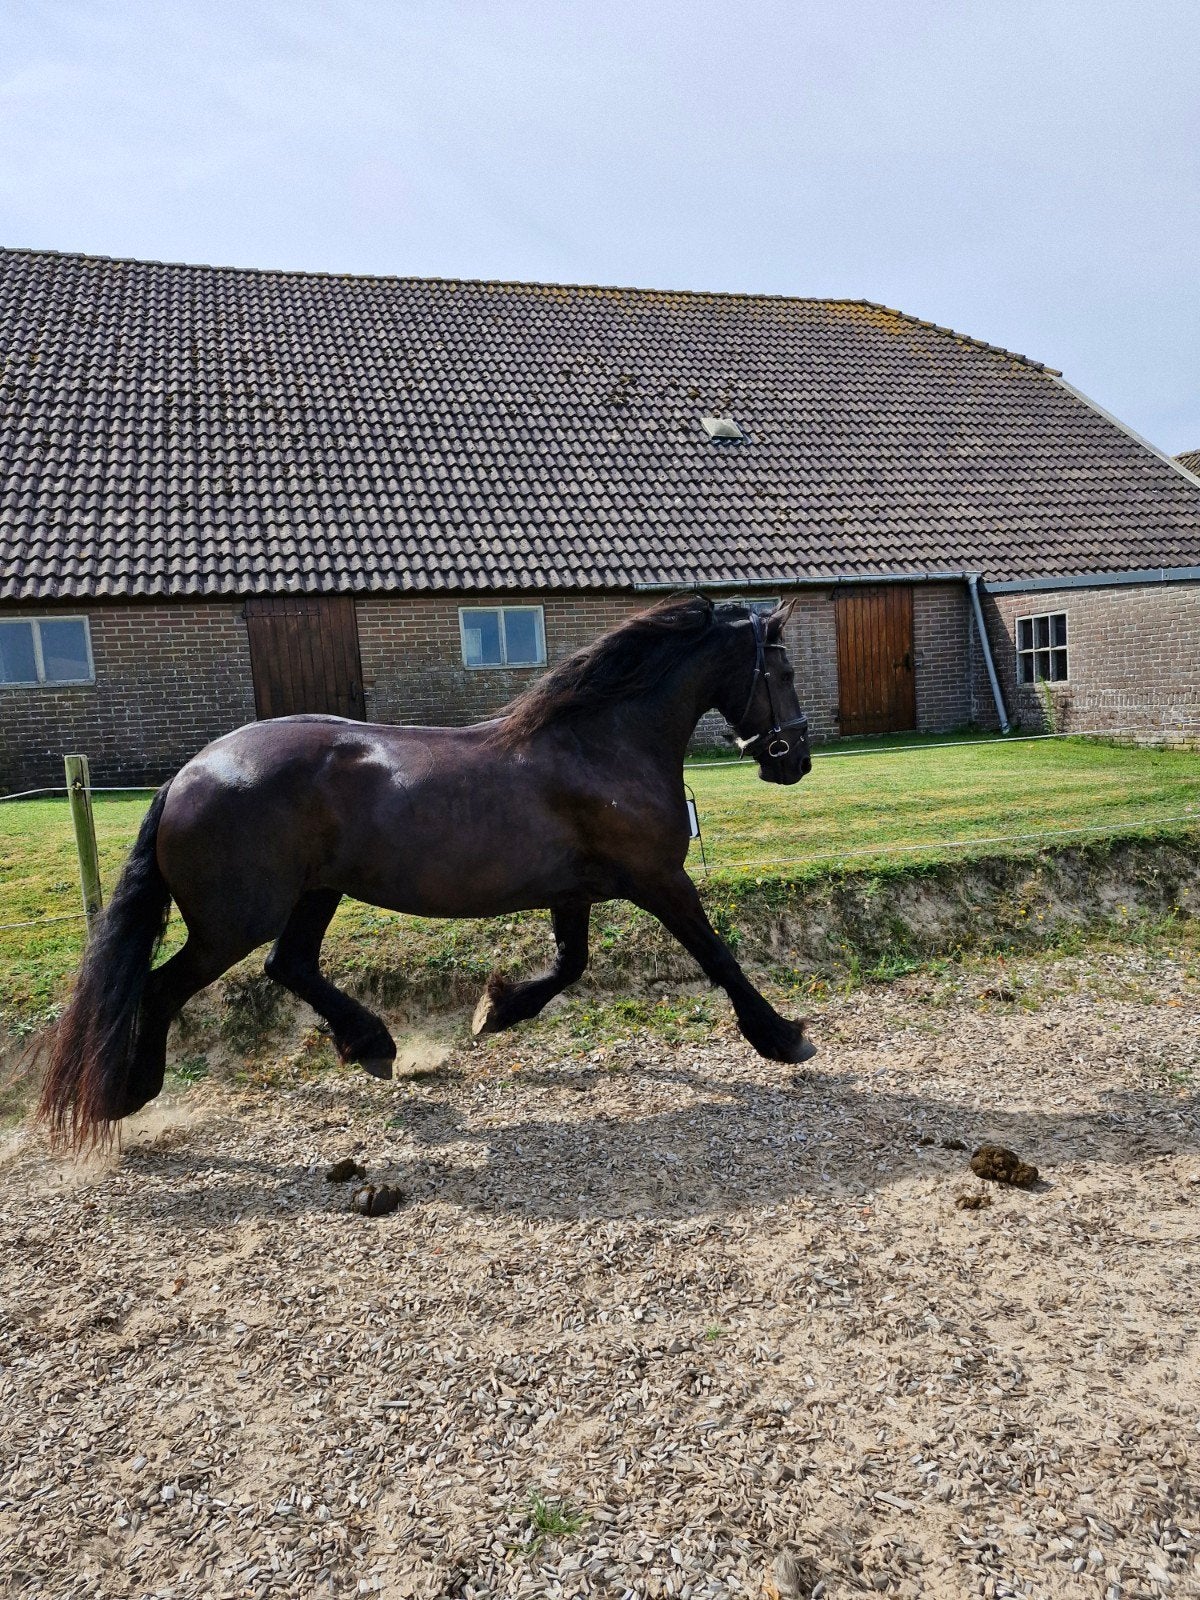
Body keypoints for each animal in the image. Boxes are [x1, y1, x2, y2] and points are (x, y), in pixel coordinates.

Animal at [39, 595, 814, 1147]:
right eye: (783, 672)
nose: (796, 761)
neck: (601, 746)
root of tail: (187, 774)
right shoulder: (660, 881)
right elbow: (718, 956)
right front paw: (783, 1037)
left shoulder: (573, 892)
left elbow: (570, 965)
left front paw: (495, 1012)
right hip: (235, 920)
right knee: (164, 986)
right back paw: (131, 1094)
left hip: (316, 892)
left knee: (289, 966)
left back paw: (373, 1045)